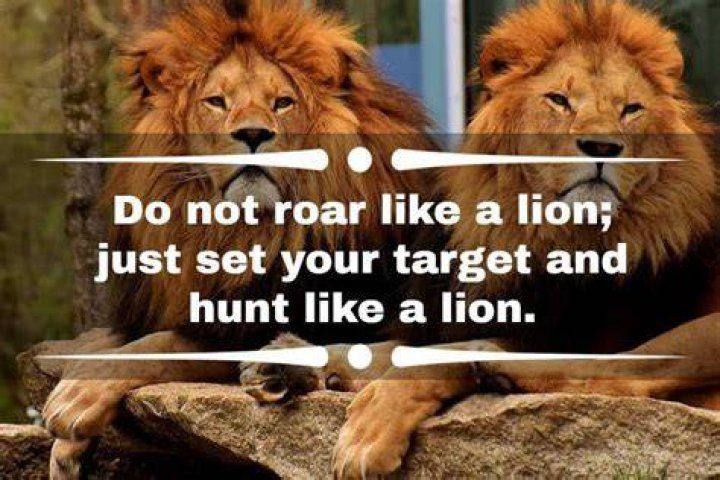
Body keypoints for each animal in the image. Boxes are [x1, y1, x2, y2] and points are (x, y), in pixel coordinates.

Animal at [41, 0, 434, 477]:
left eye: (282, 103)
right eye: (216, 102)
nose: (252, 133)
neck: (242, 232)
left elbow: (163, 344)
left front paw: (73, 399)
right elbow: (111, 340)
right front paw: (65, 449)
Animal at [332, 1, 720, 477]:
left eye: (631, 109)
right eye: (559, 100)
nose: (602, 147)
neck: (539, 232)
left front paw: (365, 437)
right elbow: (381, 348)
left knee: (612, 377)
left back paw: (492, 363)